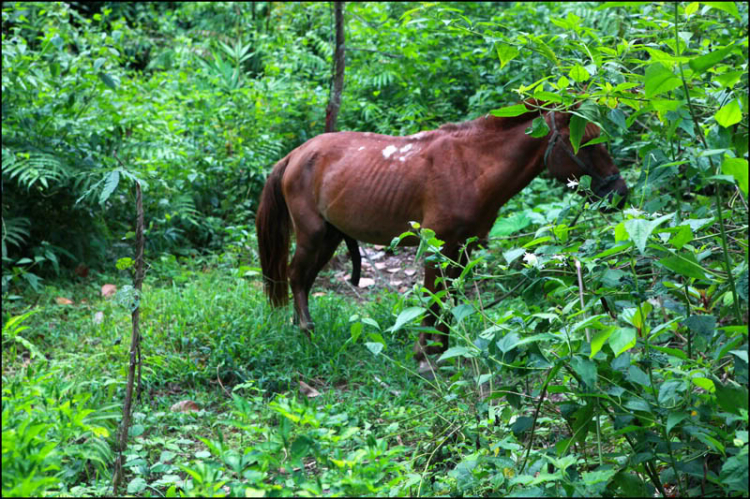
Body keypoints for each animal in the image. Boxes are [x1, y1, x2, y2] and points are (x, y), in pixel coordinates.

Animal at [258, 101, 628, 368]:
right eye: (587, 144)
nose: (620, 194)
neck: (472, 168)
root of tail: (295, 155)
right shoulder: (437, 248)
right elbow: (434, 298)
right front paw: (425, 355)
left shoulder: (463, 248)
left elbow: (449, 300)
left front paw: (446, 350)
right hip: (313, 235)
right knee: (296, 276)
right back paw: (306, 332)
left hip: (331, 236)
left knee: (302, 279)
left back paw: (298, 325)